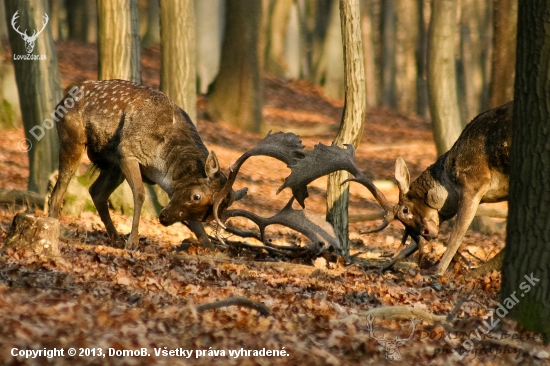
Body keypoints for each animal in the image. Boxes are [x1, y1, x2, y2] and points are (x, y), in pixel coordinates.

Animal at [48, 79, 247, 249]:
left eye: (206, 215)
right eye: (196, 196)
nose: (164, 218)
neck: (162, 164)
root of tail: (61, 102)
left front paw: (211, 249)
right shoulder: (128, 152)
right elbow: (140, 194)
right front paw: (133, 242)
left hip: (112, 165)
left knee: (96, 192)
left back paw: (115, 238)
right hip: (73, 140)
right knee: (58, 191)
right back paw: (55, 231)